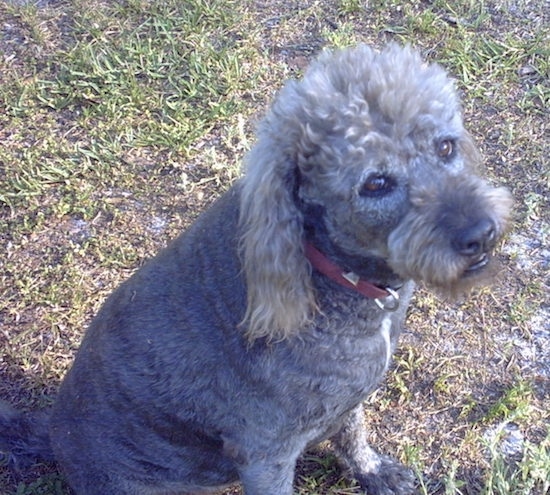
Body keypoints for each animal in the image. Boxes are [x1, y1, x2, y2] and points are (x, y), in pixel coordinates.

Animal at [2, 43, 516, 495]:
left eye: (446, 147)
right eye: (375, 183)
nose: (481, 232)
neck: (328, 275)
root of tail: (53, 434)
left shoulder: (344, 401)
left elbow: (353, 430)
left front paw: (373, 471)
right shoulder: (266, 455)